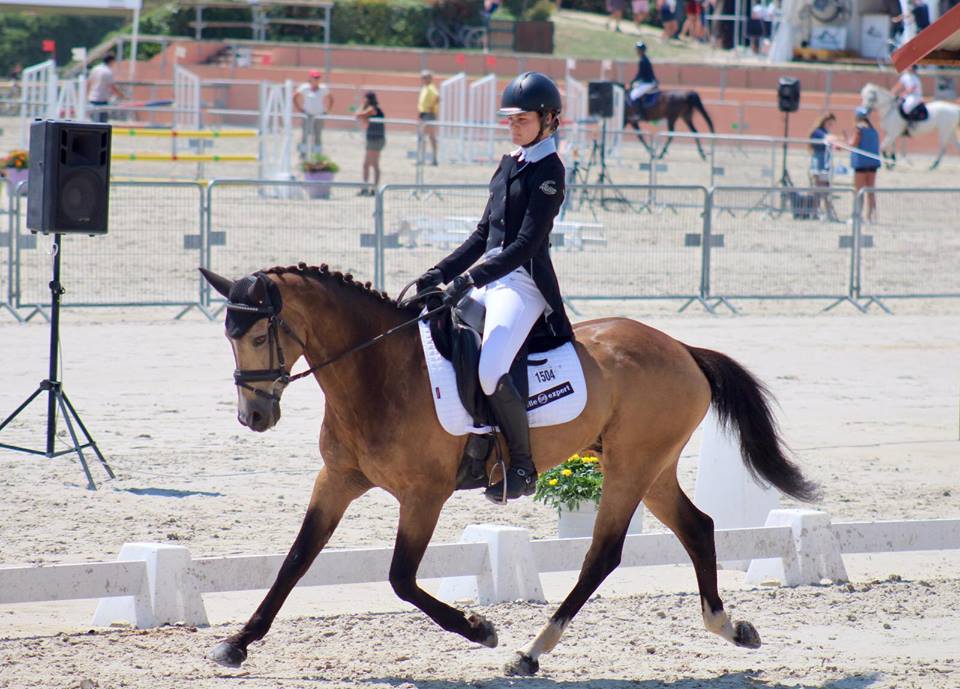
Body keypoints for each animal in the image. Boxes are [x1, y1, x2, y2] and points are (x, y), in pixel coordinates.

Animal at [199, 264, 812, 676]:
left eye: (260, 335)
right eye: (228, 338)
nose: (254, 417)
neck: (378, 373)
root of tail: (681, 348)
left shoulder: (424, 496)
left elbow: (401, 578)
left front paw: (481, 629)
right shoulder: (336, 480)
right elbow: (296, 559)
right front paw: (238, 642)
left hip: (632, 467)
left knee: (604, 553)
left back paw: (529, 651)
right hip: (650, 468)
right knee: (697, 528)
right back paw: (730, 627)